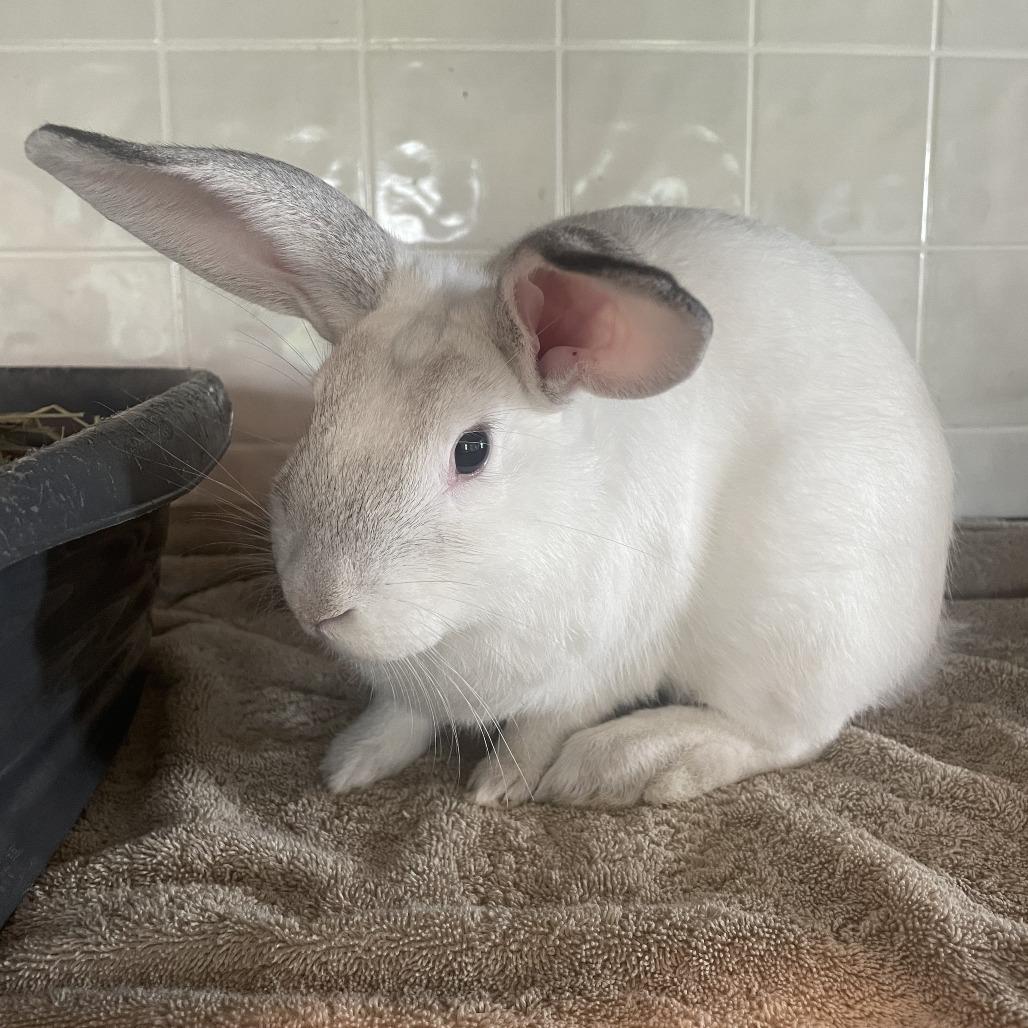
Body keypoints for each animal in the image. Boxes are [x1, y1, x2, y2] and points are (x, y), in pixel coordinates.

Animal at [25, 124, 953, 808]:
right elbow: (402, 711)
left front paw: (499, 788)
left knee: (789, 732)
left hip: (793, 622)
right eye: (320, 408)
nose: (320, 604)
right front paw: (352, 763)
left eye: (471, 451)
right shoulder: (418, 680)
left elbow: (543, 727)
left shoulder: (594, 668)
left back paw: (627, 765)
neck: (477, 608)